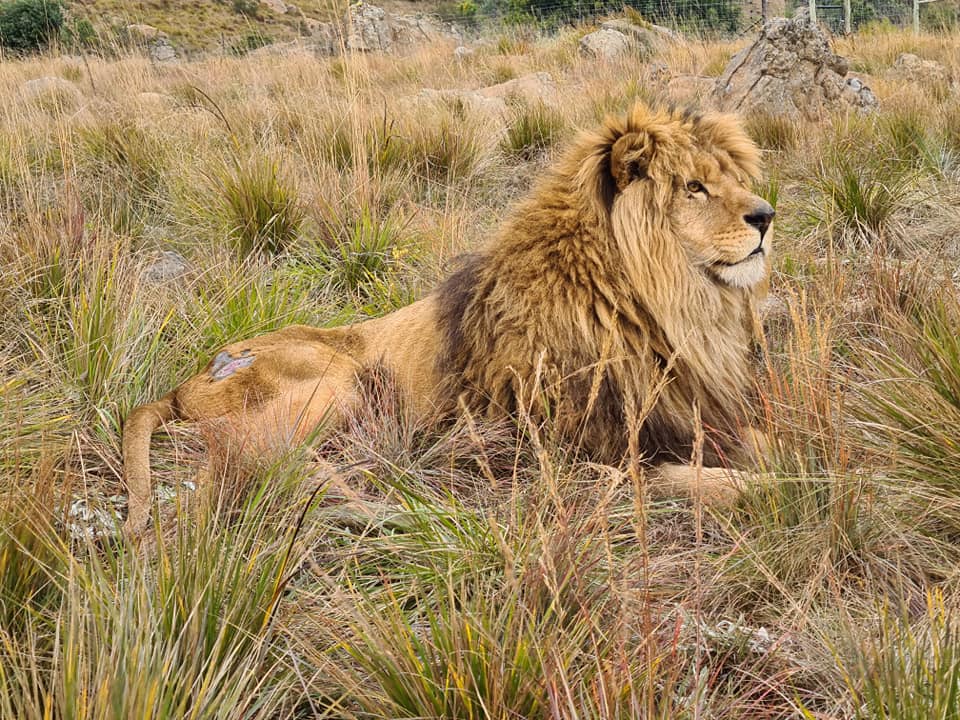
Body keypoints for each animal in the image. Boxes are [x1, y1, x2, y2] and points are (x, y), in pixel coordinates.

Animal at [124, 104, 776, 536]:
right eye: (693, 187)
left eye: (733, 181)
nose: (767, 215)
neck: (660, 306)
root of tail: (184, 383)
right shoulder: (567, 453)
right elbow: (695, 480)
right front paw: (776, 488)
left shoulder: (689, 416)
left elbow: (763, 444)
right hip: (337, 381)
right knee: (258, 462)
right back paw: (388, 503)